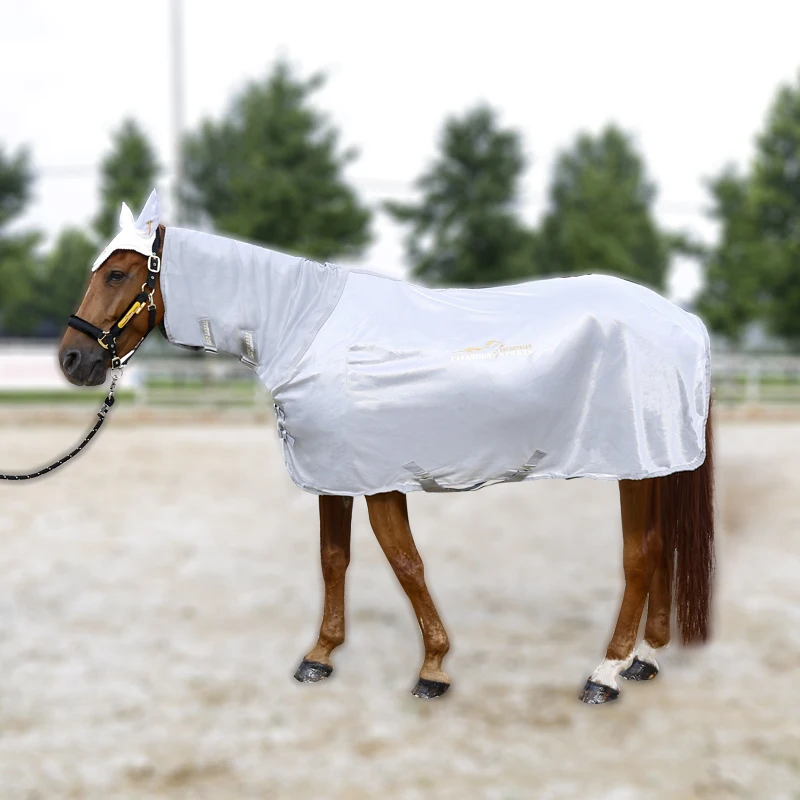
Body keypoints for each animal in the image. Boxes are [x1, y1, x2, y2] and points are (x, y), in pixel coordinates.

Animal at [59, 194, 716, 708]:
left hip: (633, 467)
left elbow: (406, 563)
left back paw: (605, 673)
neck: (304, 327)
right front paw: (321, 655)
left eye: (117, 274)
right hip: (657, 466)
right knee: (660, 550)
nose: (72, 359)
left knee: (639, 556)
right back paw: (645, 658)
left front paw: (434, 669)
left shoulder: (377, 479)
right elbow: (334, 559)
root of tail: (684, 321)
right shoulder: (334, 472)